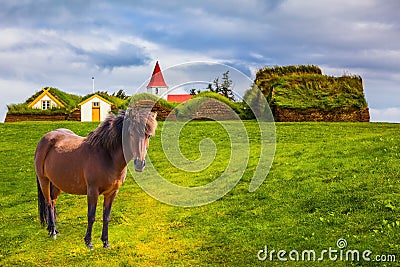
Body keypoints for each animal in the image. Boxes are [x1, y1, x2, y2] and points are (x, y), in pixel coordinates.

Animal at [34, 108, 157, 250]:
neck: (107, 156)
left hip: (56, 183)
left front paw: (105, 242)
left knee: (53, 202)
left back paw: (52, 229)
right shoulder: (92, 191)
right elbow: (91, 216)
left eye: (149, 136)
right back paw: (53, 231)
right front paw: (89, 242)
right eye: (131, 133)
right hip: (44, 180)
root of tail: (45, 139)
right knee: (48, 202)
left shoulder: (112, 192)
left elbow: (106, 216)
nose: (139, 164)